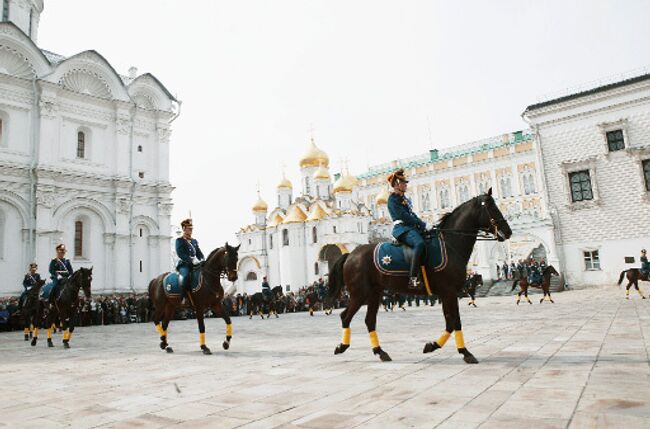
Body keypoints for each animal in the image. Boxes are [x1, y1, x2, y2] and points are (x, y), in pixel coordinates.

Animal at [326, 190, 508, 362]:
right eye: (490, 206)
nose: (508, 231)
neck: (449, 244)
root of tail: (350, 254)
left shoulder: (447, 293)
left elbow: (450, 322)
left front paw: (431, 345)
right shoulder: (449, 291)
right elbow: (455, 321)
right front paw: (465, 353)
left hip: (374, 293)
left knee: (369, 320)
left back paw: (380, 352)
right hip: (359, 293)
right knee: (345, 316)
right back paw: (342, 346)